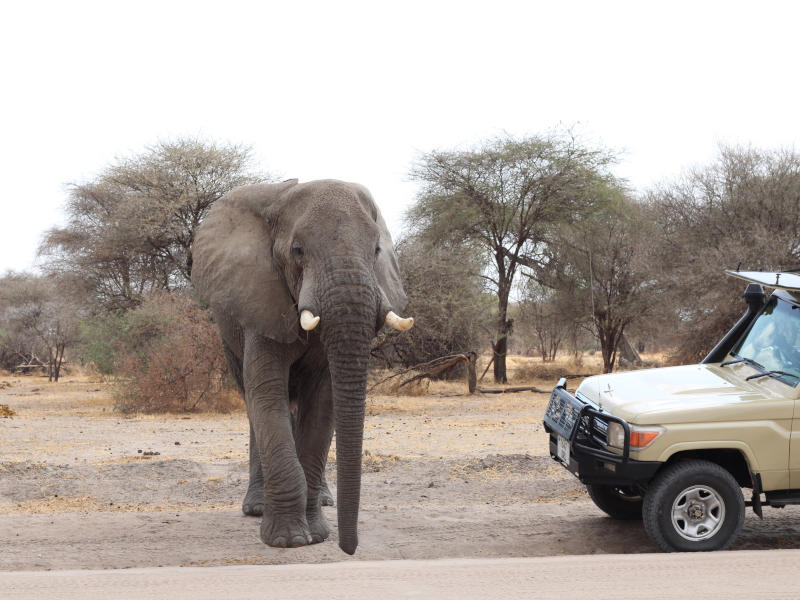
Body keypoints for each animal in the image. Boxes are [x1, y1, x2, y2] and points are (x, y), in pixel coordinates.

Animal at [189, 177, 412, 552]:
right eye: (297, 250)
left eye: (377, 251)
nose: (349, 548)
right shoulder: (260, 301)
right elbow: (266, 396)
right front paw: (289, 540)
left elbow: (323, 405)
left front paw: (316, 535)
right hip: (227, 333)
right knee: (253, 405)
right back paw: (256, 508)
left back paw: (323, 500)